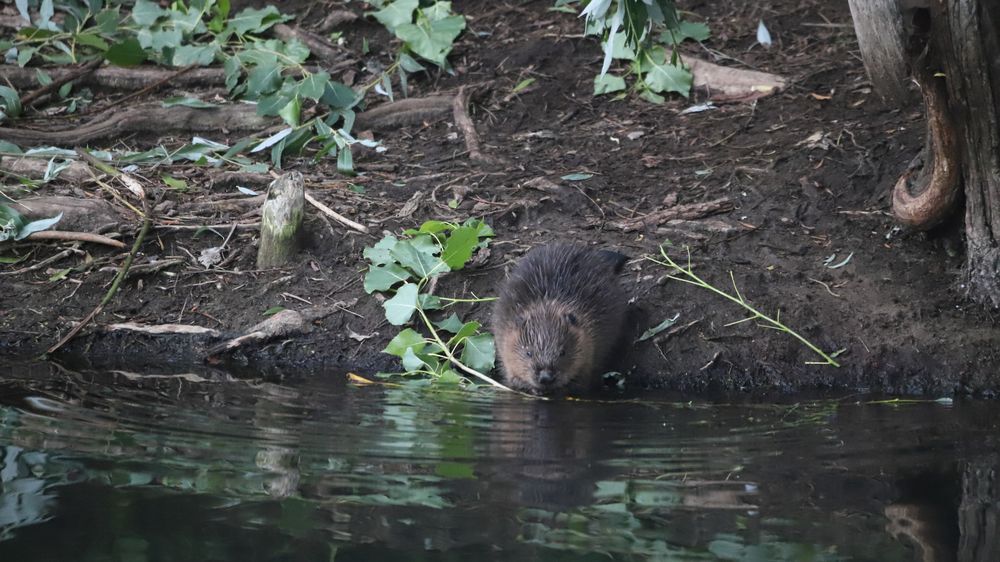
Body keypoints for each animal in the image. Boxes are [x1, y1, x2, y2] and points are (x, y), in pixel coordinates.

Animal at [494, 242, 628, 394]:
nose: (545, 377)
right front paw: (533, 388)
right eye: (529, 353)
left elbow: (581, 381)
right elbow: (512, 377)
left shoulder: (589, 347)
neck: (547, 304)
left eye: (562, 352)